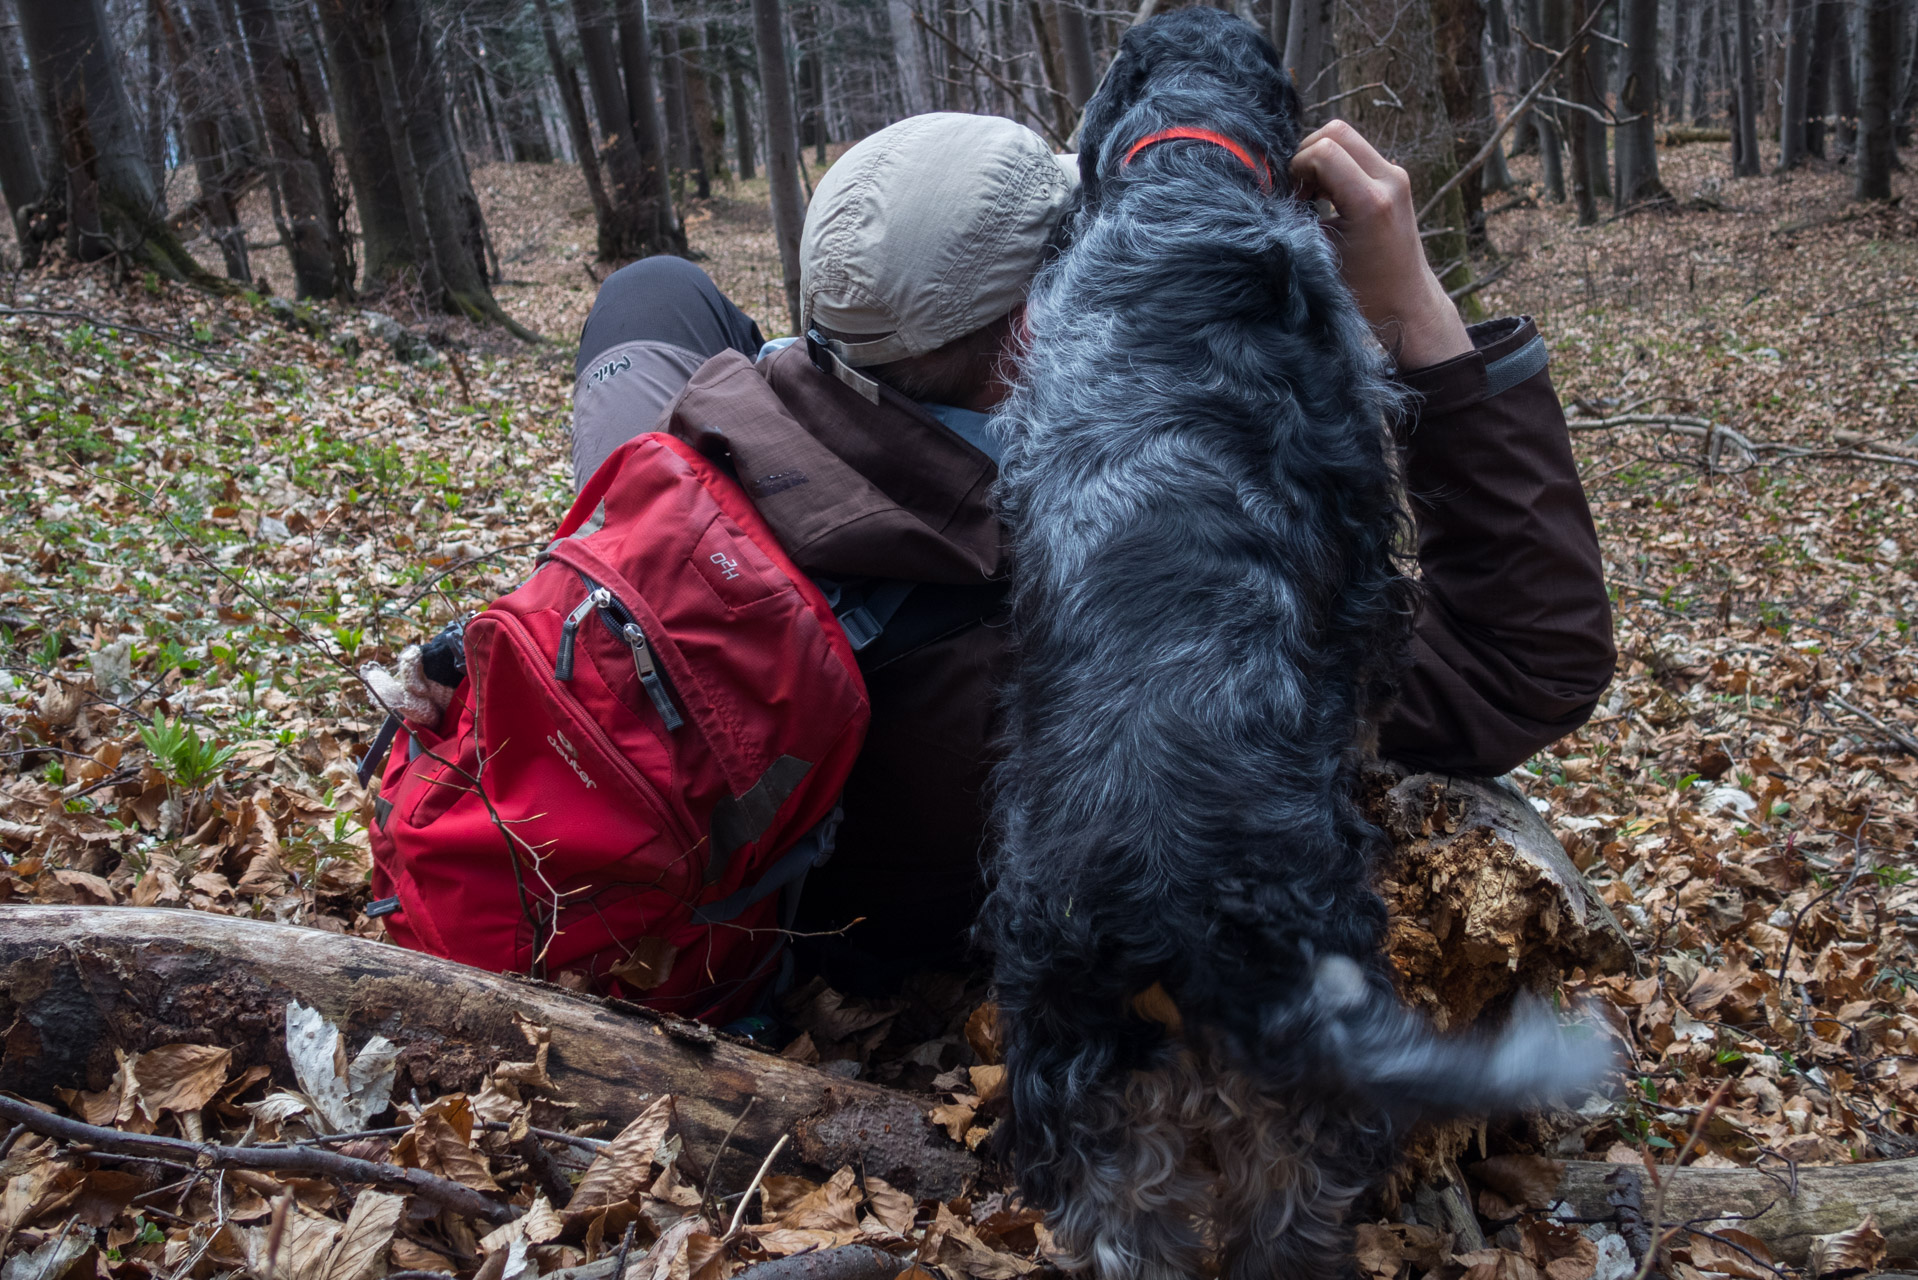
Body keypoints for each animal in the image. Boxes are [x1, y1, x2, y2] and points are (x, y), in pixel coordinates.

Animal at [989, 10, 1603, 1280]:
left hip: (1077, 1083)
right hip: (1306, 1085)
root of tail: (1171, 905)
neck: (1184, 171)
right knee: (1290, 1214)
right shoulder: (1363, 514)